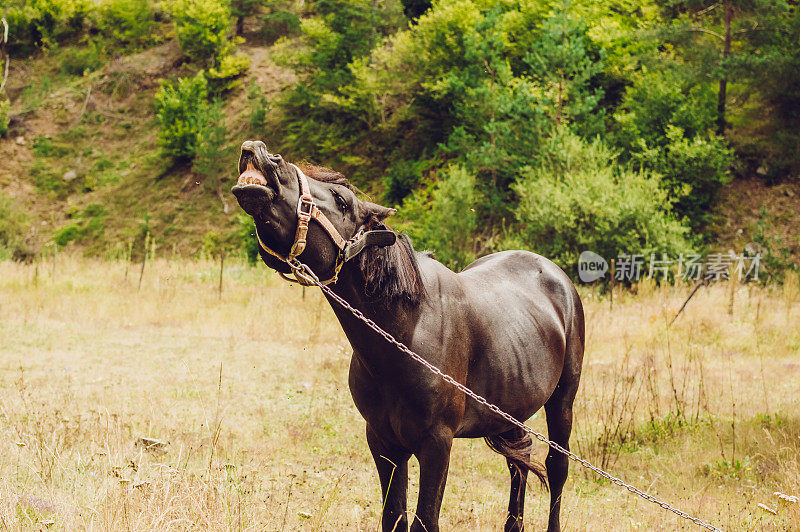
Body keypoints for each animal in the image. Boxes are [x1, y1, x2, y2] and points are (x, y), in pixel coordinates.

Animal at [234, 141, 584, 532]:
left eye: (342, 199)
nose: (260, 152)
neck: (407, 334)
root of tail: (554, 274)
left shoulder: (437, 445)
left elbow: (424, 520)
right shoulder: (384, 442)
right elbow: (393, 518)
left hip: (563, 401)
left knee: (557, 468)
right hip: (511, 410)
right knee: (518, 464)